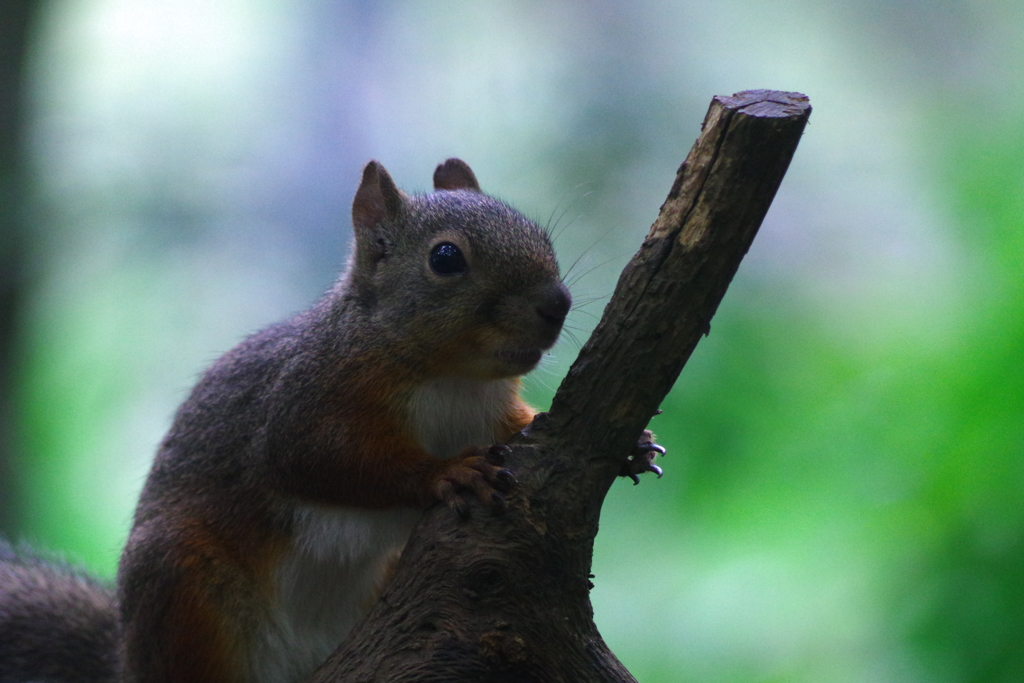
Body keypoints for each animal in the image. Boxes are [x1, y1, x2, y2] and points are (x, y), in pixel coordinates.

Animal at [0, 157, 663, 679]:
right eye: (446, 258)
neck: (451, 380)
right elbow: (325, 463)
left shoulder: (491, 414)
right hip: (180, 585)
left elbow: (523, 429)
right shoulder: (304, 407)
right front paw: (446, 474)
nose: (557, 303)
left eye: (538, 234)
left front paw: (632, 444)